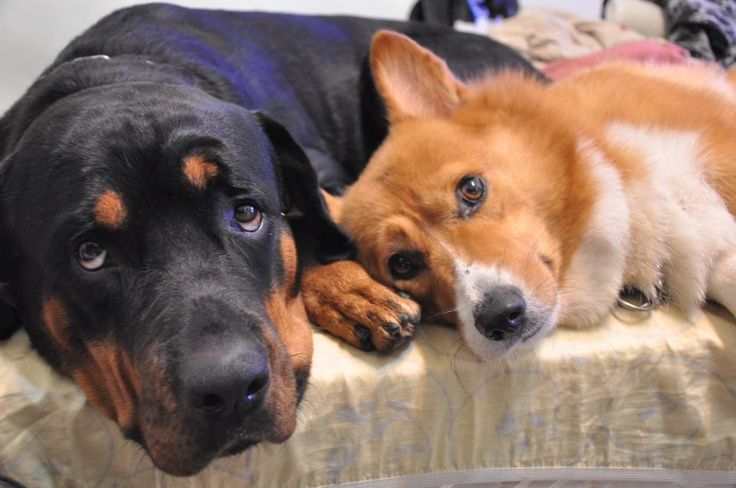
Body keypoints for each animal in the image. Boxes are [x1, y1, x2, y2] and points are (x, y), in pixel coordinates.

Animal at [0, 2, 536, 476]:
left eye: (247, 214)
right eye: (90, 254)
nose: (230, 388)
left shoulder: (322, 169)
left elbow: (317, 221)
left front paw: (351, 290)